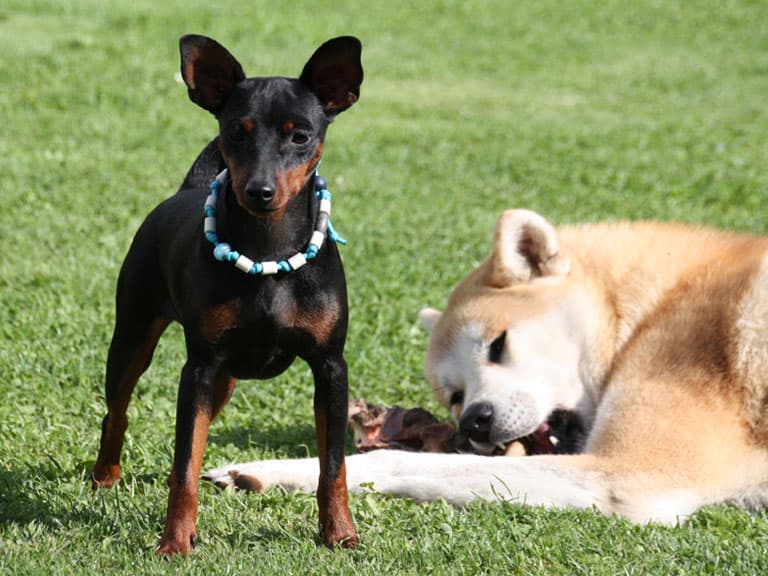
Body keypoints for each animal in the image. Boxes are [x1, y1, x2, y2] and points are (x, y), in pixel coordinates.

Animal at [91, 33, 364, 556]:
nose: (259, 190)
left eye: (300, 136)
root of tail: (187, 189)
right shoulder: (197, 369)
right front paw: (175, 542)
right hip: (136, 339)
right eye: (236, 132)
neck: (268, 251)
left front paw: (340, 533)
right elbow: (184, 468)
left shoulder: (330, 368)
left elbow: (334, 465)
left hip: (224, 381)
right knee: (118, 412)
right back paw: (104, 477)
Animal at [204, 209, 768, 524]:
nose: (476, 420)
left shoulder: (635, 474)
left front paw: (269, 470)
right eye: (454, 396)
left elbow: (396, 461)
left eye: (498, 345)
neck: (646, 309)